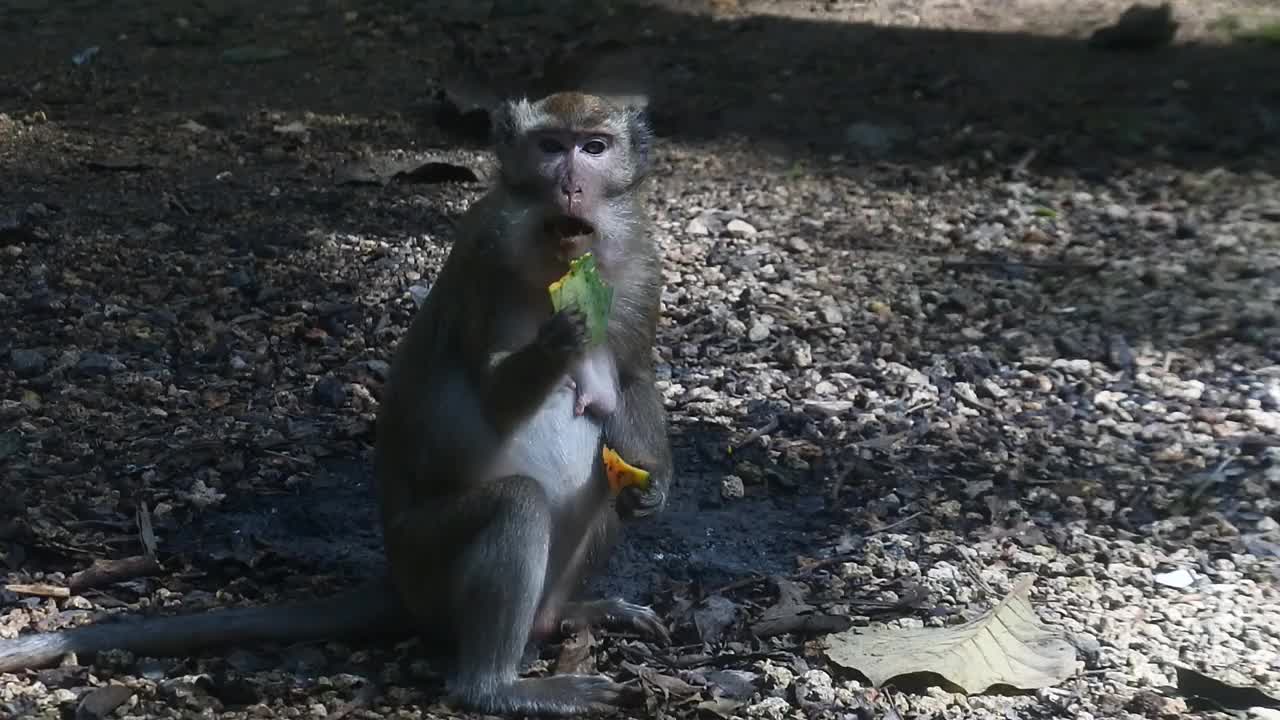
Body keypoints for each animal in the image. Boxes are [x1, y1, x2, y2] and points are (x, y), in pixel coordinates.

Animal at [0, 90, 675, 712]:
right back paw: (497, 687)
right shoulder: (488, 251)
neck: (558, 252)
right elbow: (489, 392)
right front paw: (562, 335)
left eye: (594, 147)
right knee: (515, 506)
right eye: (550, 147)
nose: (569, 185)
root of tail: (397, 585)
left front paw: (656, 485)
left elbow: (632, 377)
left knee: (601, 485)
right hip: (427, 561)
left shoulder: (640, 257)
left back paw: (571, 612)